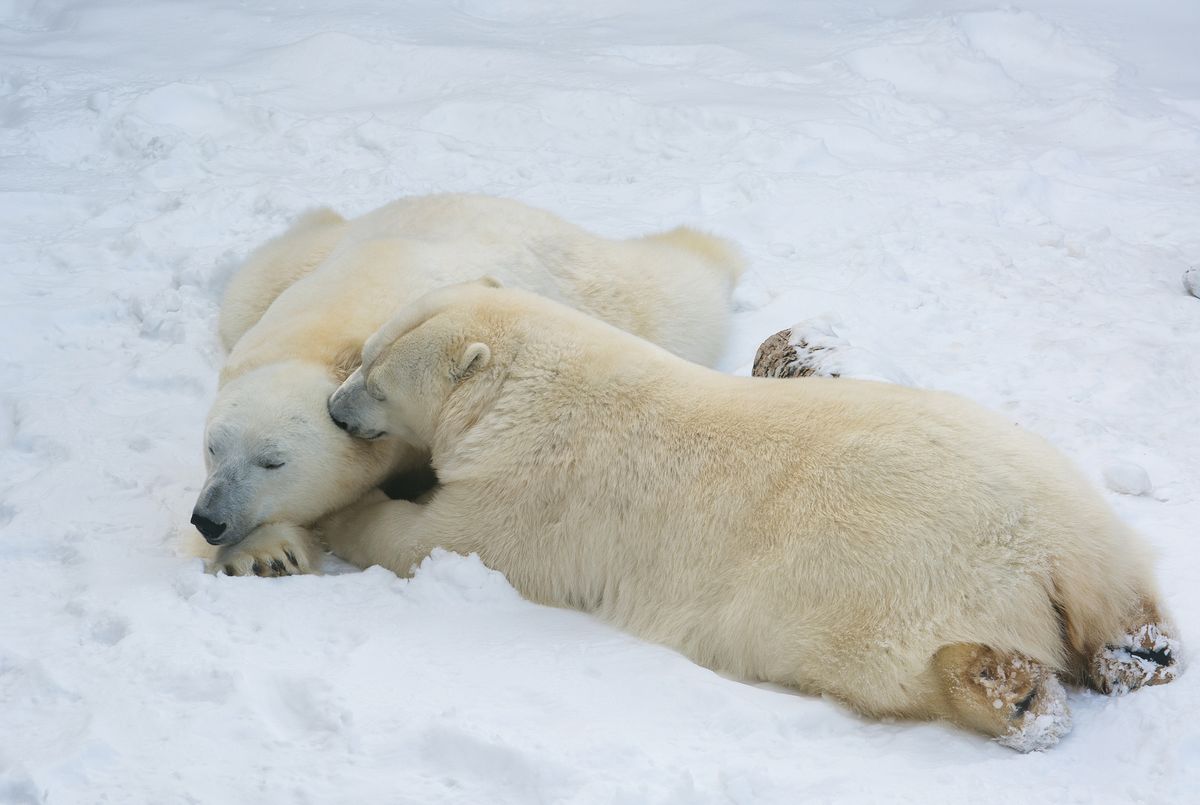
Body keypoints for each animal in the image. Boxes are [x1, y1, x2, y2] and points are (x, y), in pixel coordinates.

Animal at [194, 194, 739, 573]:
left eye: (273, 461)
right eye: (213, 448)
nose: (209, 518)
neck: (328, 333)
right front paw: (264, 555)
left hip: (602, 286)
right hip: (277, 280)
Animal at [324, 281, 1185, 748]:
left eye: (377, 377)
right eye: (361, 354)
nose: (333, 408)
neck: (525, 388)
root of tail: (1044, 548)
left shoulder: (529, 488)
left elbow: (439, 541)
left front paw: (348, 512)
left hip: (879, 594)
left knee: (902, 662)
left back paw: (1006, 688)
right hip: (1073, 503)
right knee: (1131, 598)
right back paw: (1137, 649)